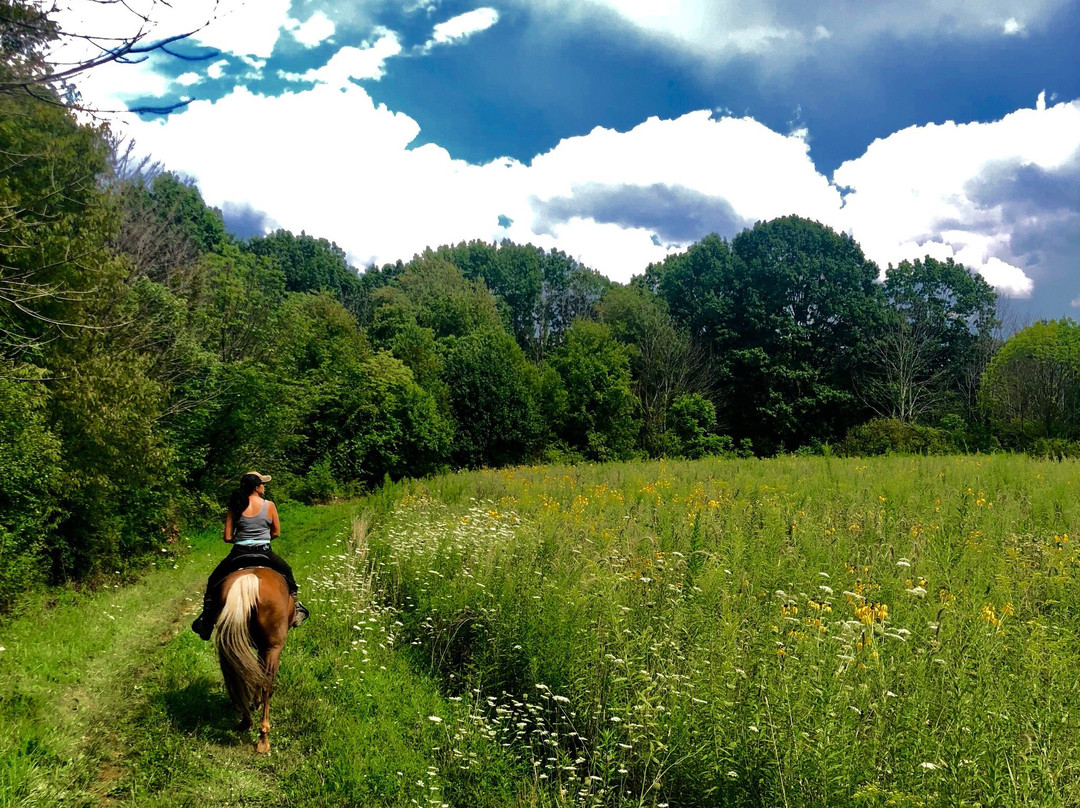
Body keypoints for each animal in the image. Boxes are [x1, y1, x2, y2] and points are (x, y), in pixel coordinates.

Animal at [213, 566, 293, 751]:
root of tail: (248, 580)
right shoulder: (266, 648)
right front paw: (256, 702)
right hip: (273, 648)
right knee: (267, 687)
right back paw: (263, 739)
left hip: (228, 645)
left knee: (237, 677)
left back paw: (245, 721)